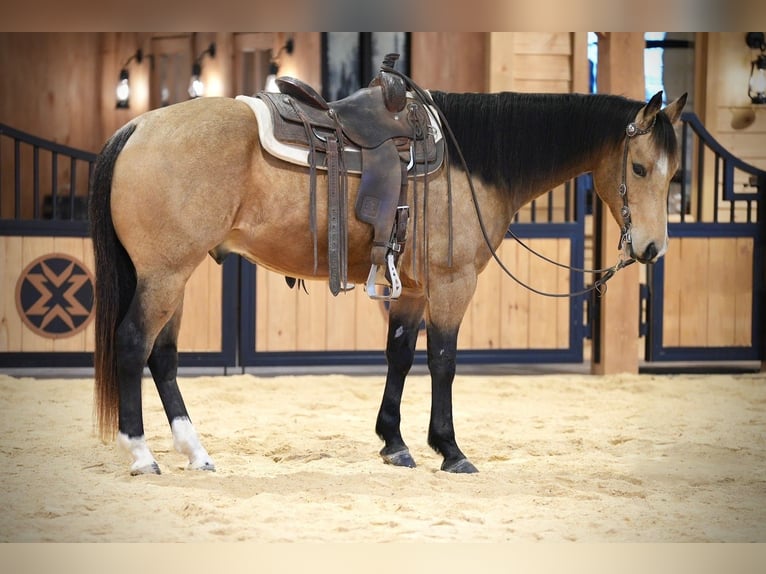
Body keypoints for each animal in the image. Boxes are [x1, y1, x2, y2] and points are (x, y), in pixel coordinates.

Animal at [89, 82, 686, 475]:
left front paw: (394, 443)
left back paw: (195, 451)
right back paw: (141, 453)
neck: (471, 161)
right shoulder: (452, 283)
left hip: (174, 277)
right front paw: (450, 450)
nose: (652, 249)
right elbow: (443, 362)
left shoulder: (414, 290)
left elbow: (399, 355)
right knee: (133, 343)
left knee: (163, 357)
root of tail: (138, 126)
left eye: (674, 172)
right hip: (165, 276)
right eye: (638, 169)